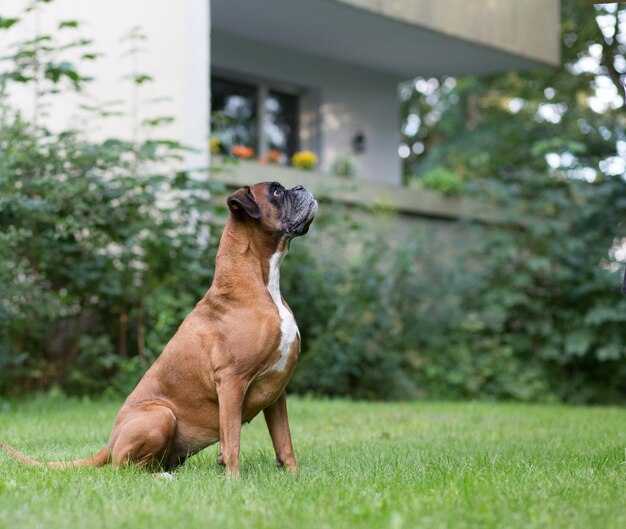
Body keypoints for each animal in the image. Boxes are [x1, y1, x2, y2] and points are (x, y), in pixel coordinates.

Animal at [1, 182, 316, 478]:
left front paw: (294, 478)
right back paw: (161, 477)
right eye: (276, 192)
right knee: (123, 468)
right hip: (162, 415)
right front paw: (233, 481)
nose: (300, 187)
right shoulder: (231, 381)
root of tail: (110, 442)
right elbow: (232, 442)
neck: (261, 283)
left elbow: (284, 442)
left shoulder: (276, 391)